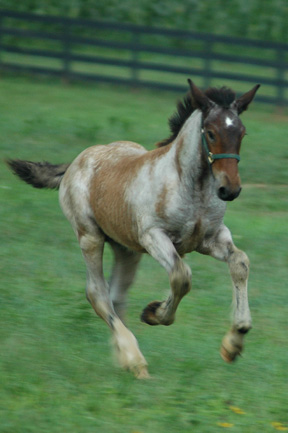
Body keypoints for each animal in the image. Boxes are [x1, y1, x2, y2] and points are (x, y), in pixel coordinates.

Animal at [8, 79, 260, 376]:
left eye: (242, 133)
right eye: (210, 133)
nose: (230, 189)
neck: (191, 187)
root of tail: (75, 162)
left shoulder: (212, 238)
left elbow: (240, 262)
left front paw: (234, 342)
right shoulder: (153, 237)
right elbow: (181, 276)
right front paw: (154, 313)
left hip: (126, 249)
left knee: (117, 295)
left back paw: (126, 361)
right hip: (90, 237)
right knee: (98, 293)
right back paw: (135, 359)